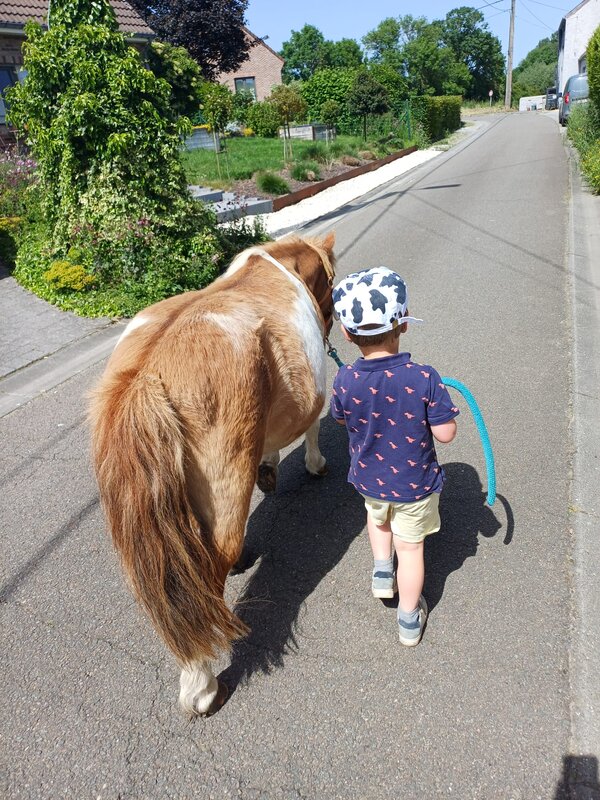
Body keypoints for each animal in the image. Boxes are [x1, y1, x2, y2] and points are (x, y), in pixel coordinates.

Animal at [89, 233, 336, 715]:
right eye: (333, 285)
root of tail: (146, 376)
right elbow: (312, 427)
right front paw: (314, 465)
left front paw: (269, 468)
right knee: (210, 567)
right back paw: (202, 687)